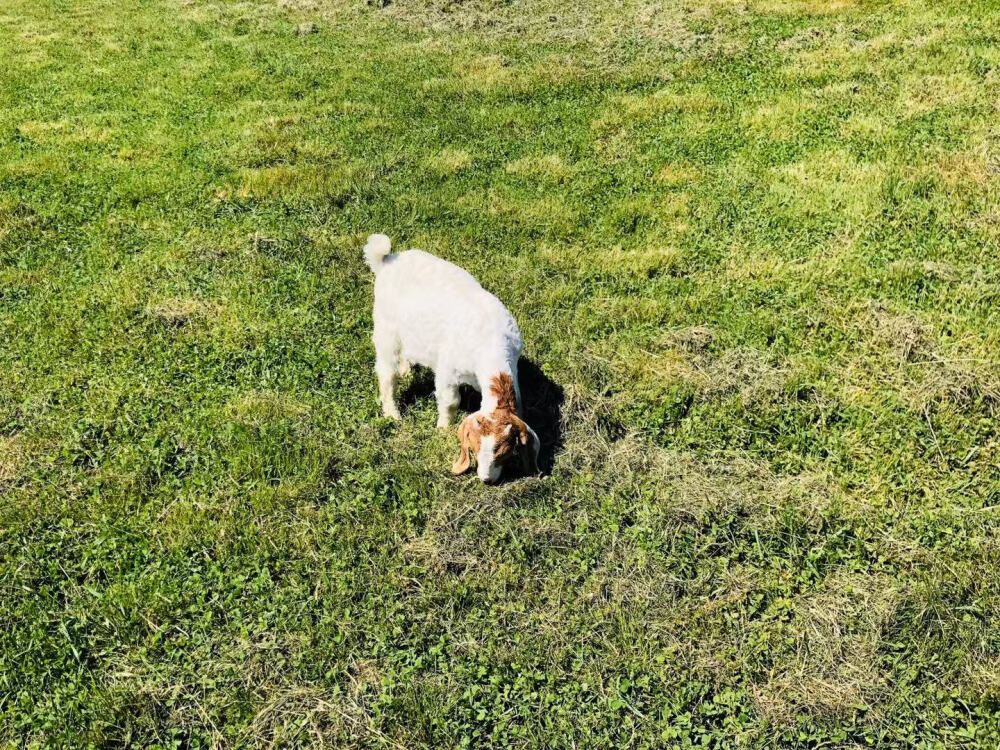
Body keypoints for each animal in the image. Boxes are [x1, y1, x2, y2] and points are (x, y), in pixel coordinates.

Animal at [366, 232, 540, 484]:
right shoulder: (448, 370)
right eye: (474, 447)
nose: (486, 480)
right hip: (386, 329)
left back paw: (406, 368)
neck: (491, 344)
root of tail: (387, 259)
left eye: (506, 453)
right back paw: (393, 413)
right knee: (386, 372)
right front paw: (443, 429)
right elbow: (450, 401)